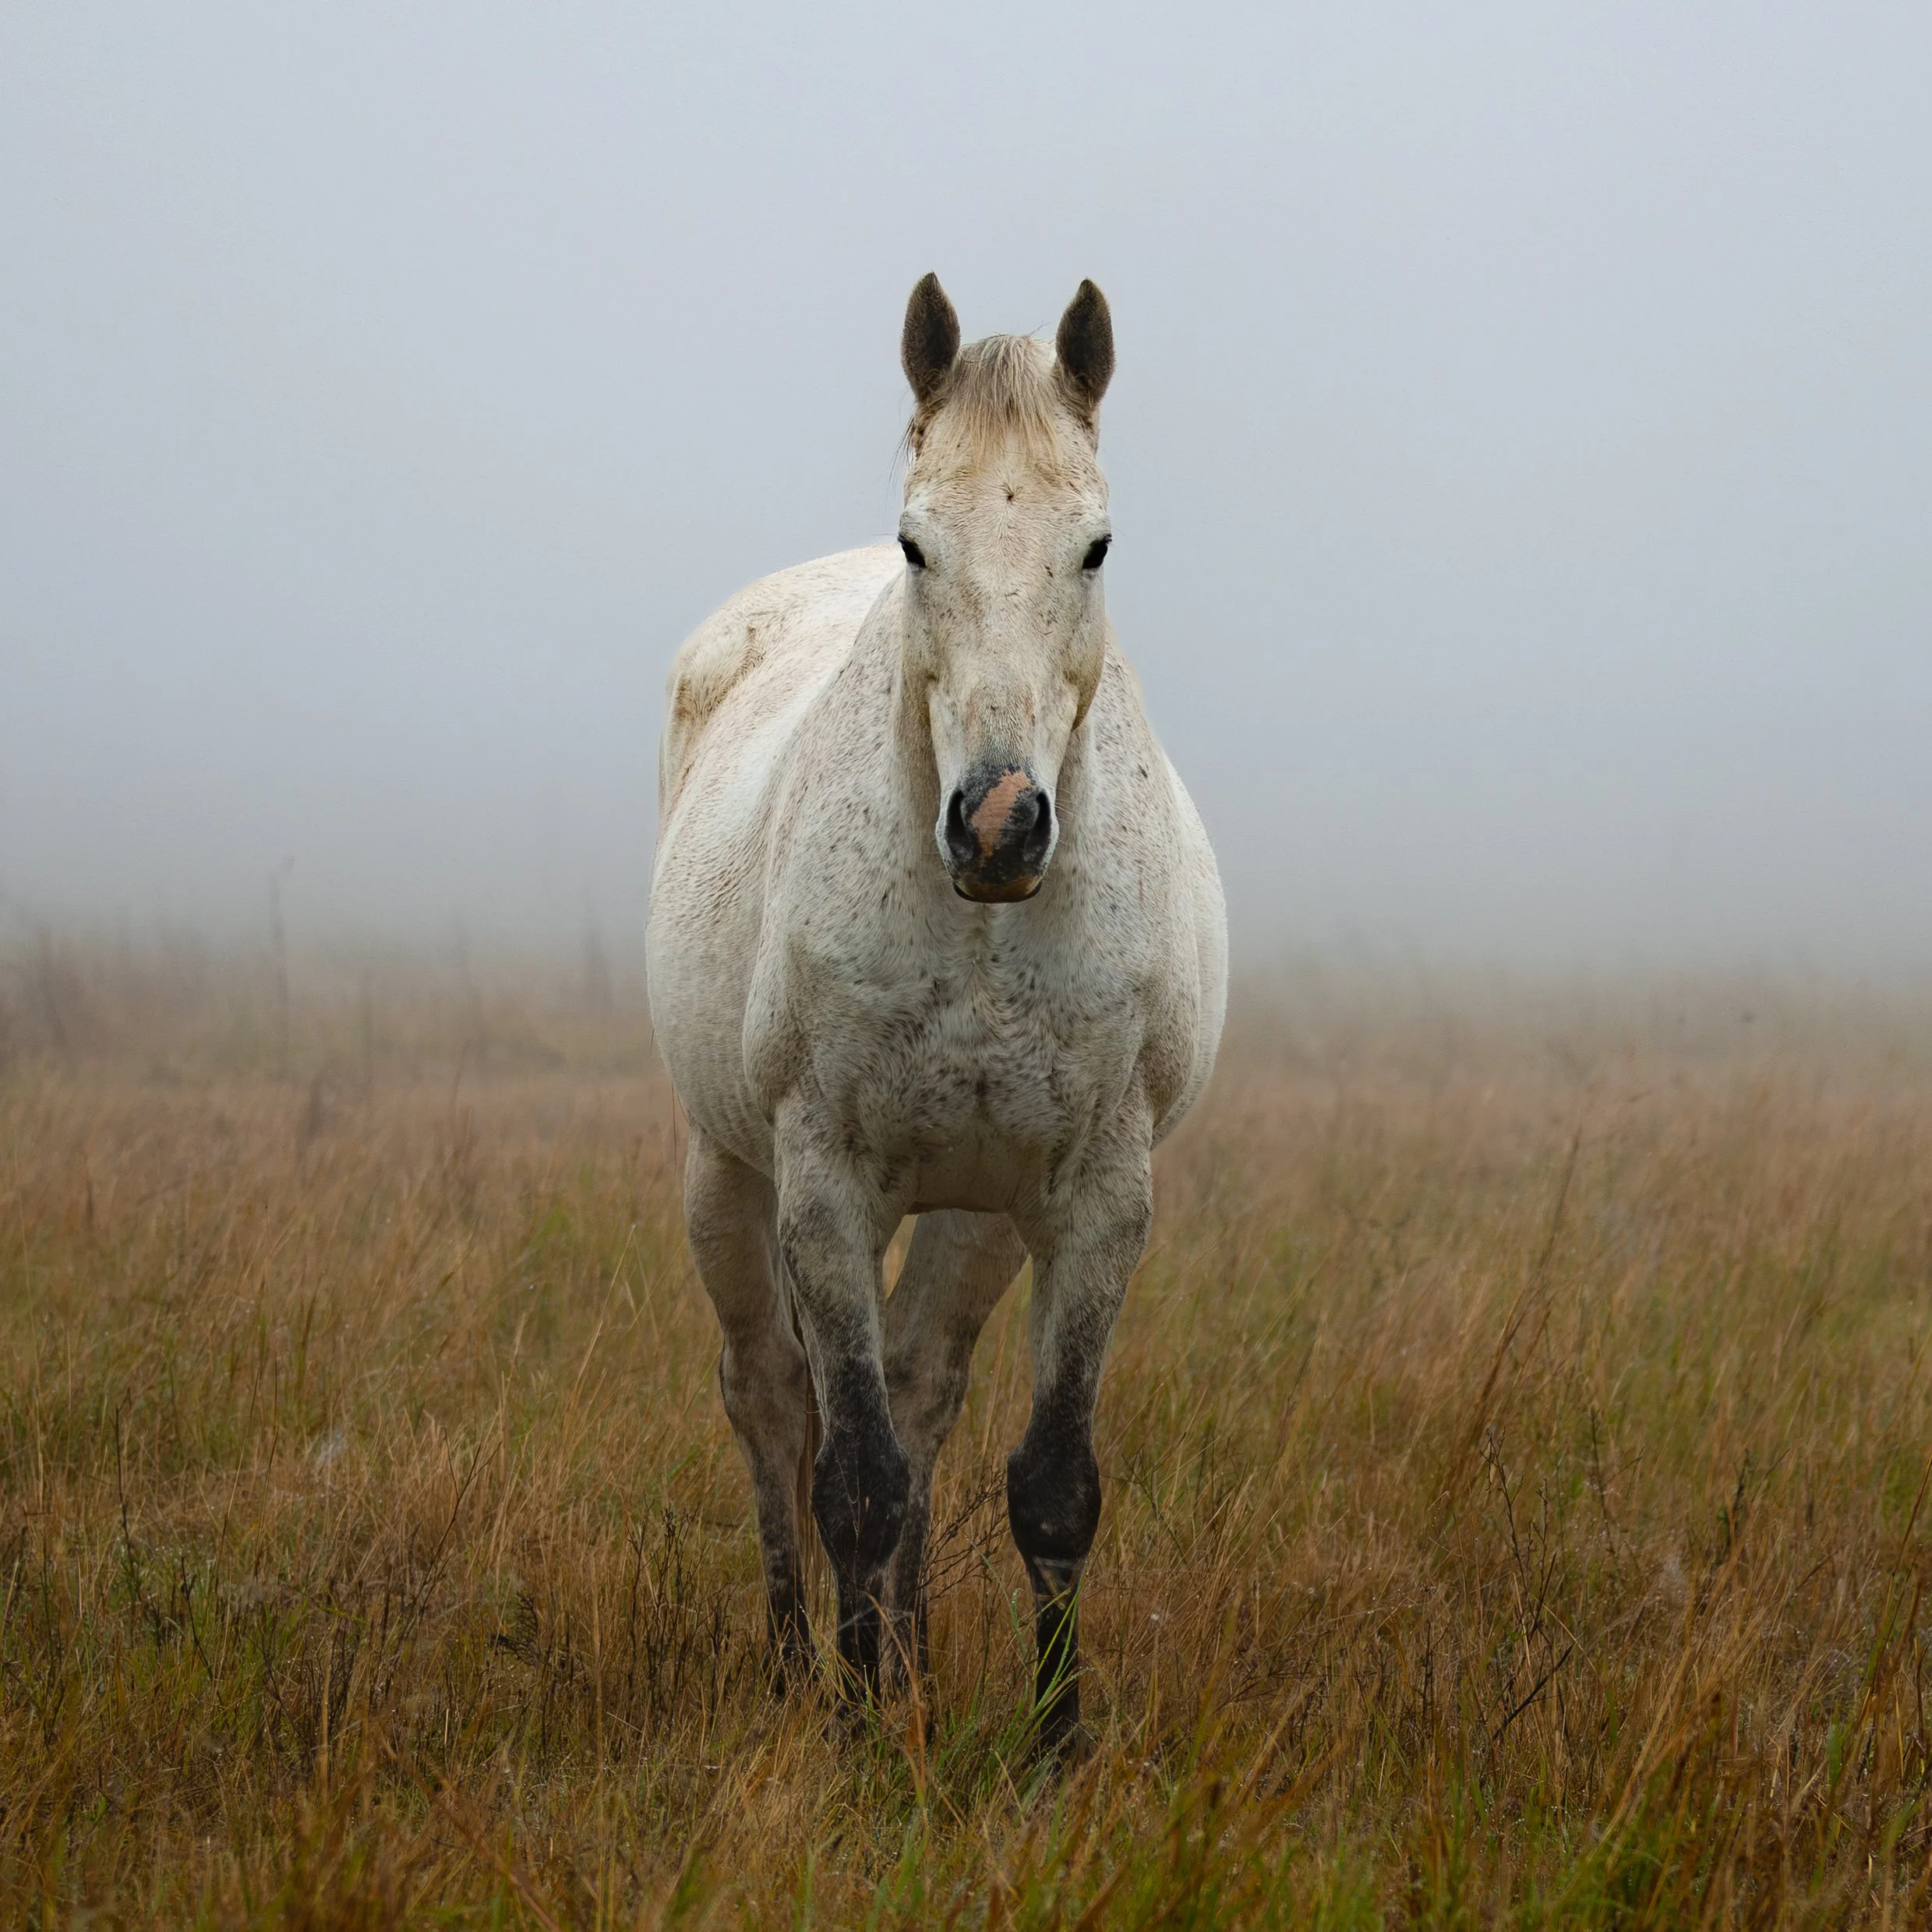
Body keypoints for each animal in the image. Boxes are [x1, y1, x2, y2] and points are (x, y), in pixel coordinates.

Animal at [645, 274, 1226, 1753]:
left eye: (1095, 546)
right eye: (916, 546)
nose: (1000, 822)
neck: (983, 928)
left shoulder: (1094, 1197)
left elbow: (1047, 1478)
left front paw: (1052, 1743)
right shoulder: (823, 1182)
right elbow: (849, 1473)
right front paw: (853, 1739)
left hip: (975, 1212)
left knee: (918, 1393)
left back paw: (901, 1661)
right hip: (725, 1173)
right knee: (768, 1401)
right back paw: (804, 1663)